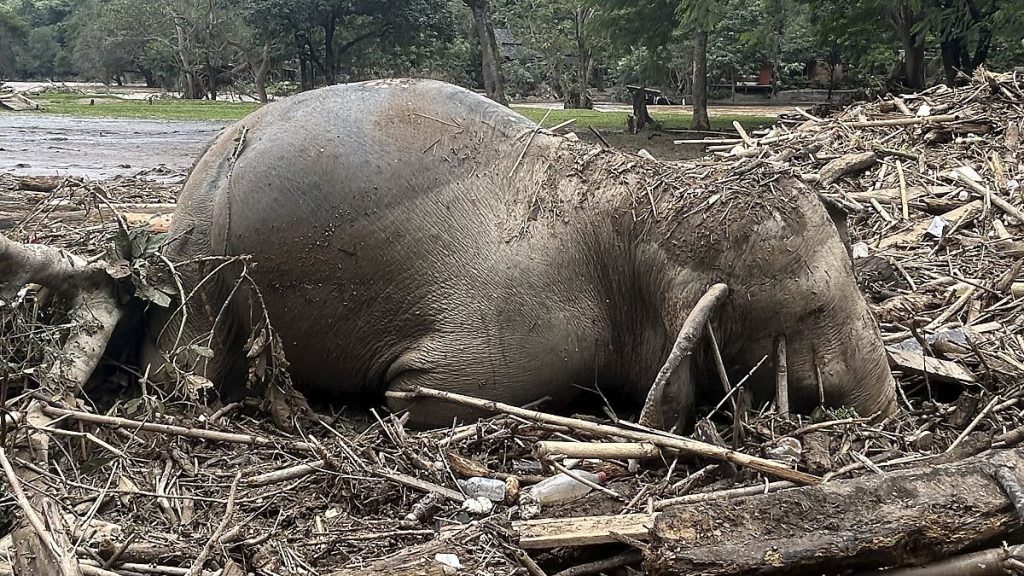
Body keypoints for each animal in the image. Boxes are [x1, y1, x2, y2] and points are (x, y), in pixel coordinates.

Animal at [140, 78, 898, 431]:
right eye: (812, 308)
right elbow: (419, 392)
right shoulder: (531, 335)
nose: (892, 411)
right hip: (201, 264)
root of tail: (214, 155)